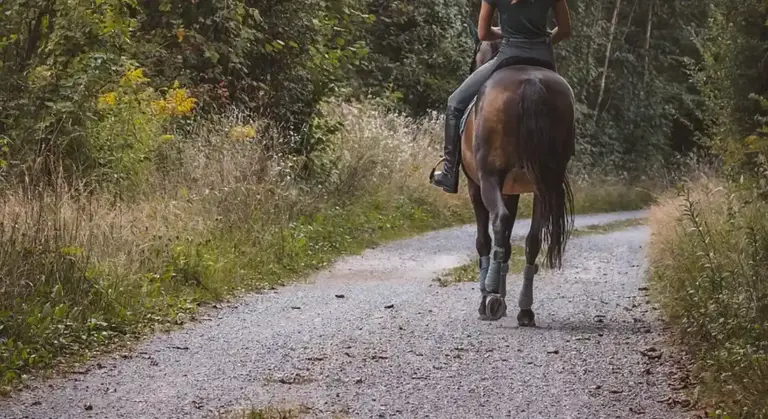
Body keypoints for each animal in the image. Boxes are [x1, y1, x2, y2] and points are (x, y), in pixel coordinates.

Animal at [461, 39, 576, 325]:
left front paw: (488, 298)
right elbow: (509, 241)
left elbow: (485, 239)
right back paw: (524, 309)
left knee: (499, 221)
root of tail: (531, 82)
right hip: (544, 185)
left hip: (489, 179)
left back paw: (491, 296)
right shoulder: (511, 191)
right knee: (533, 239)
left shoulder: (475, 186)